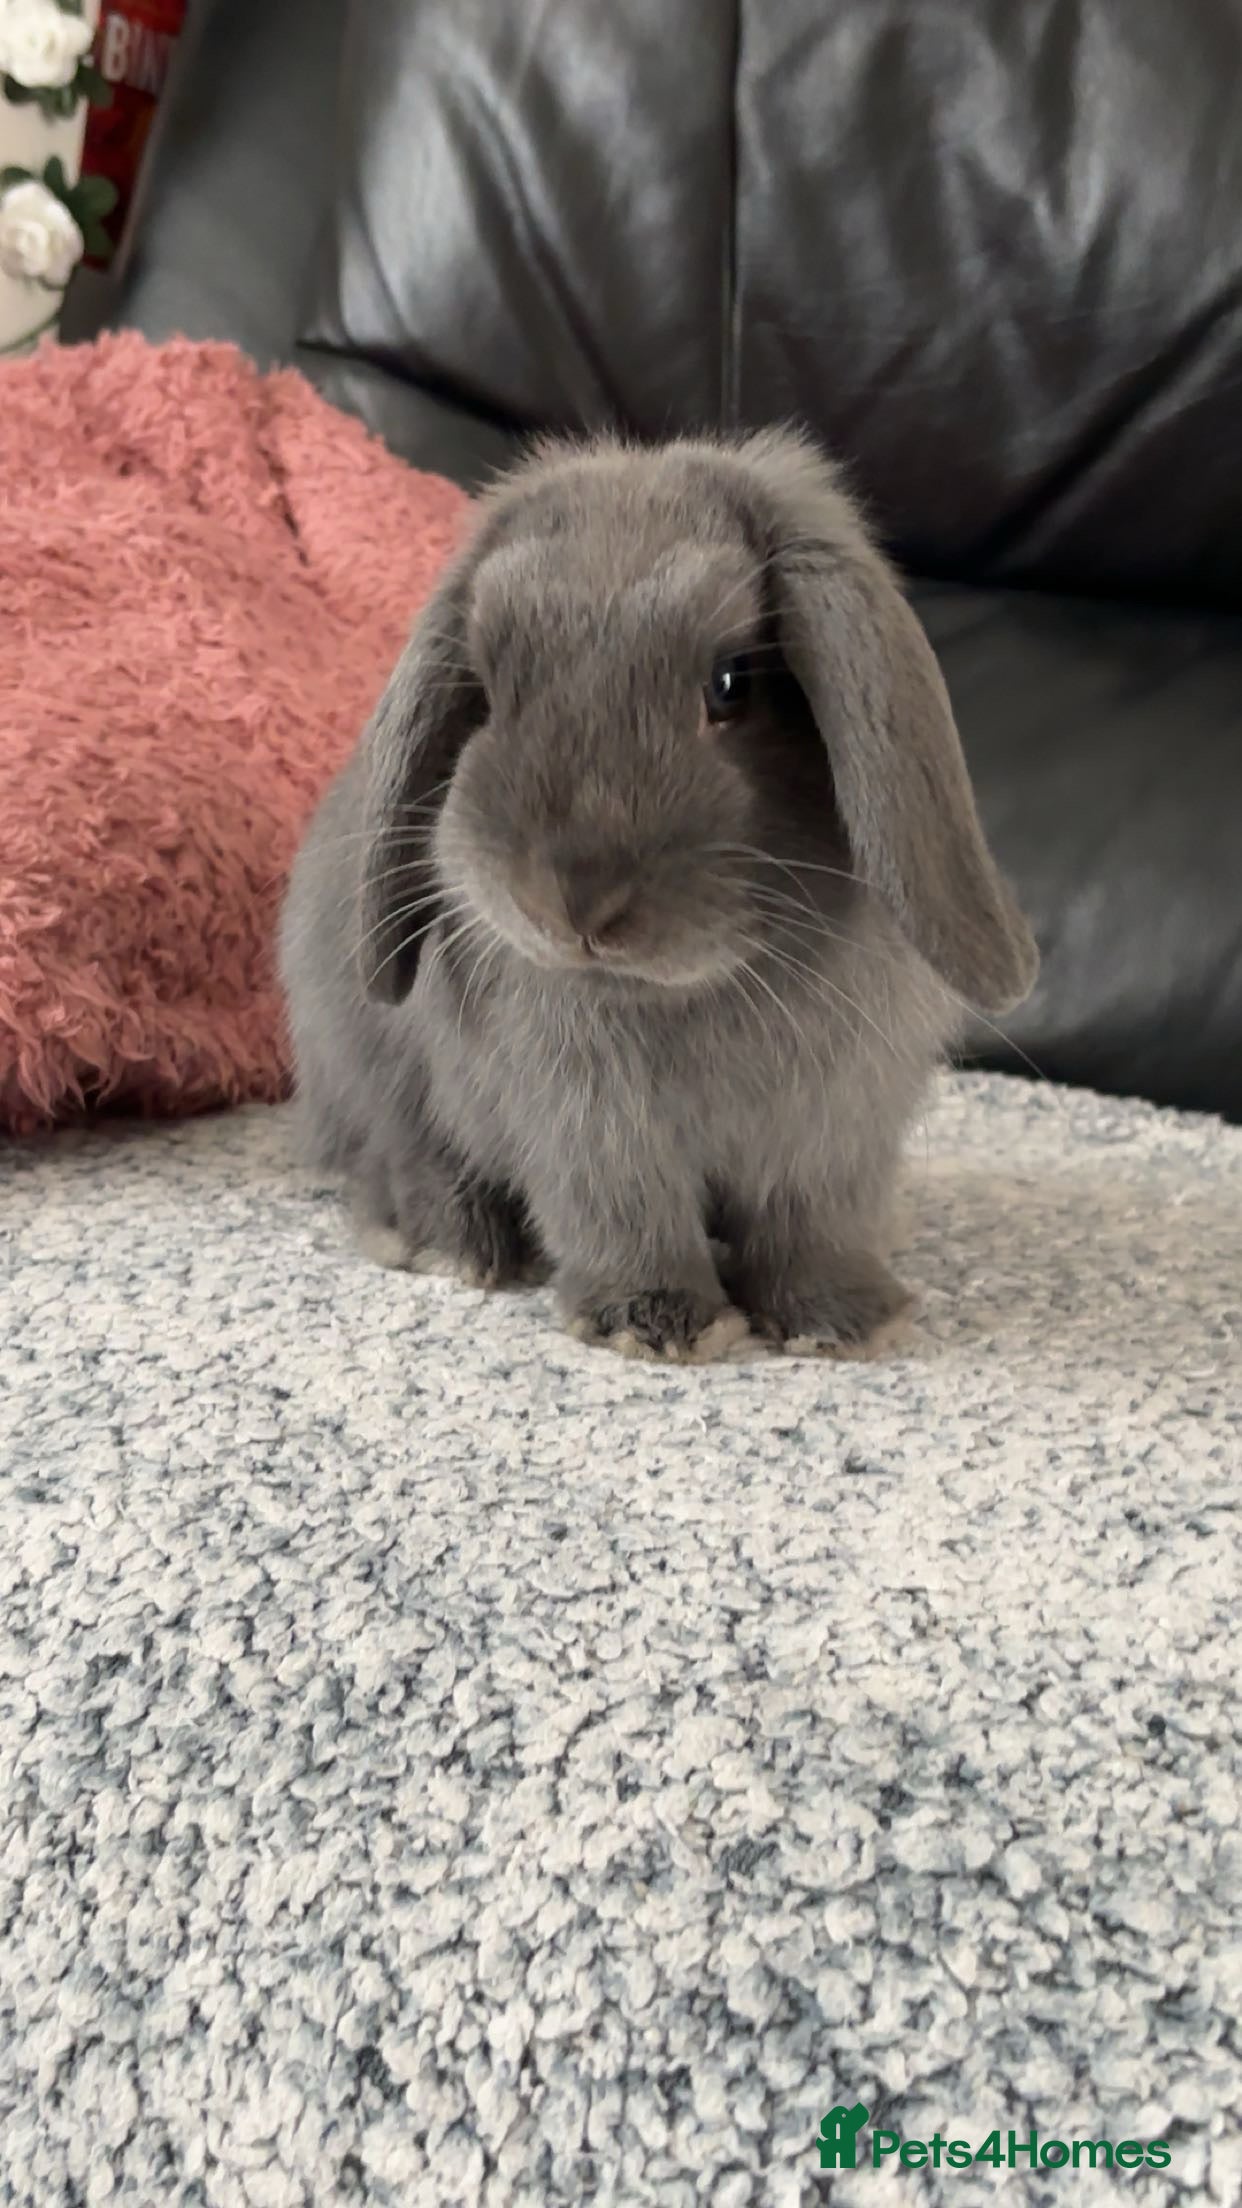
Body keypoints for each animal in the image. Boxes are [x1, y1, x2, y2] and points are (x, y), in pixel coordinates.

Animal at [279, 428, 1037, 1362]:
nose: (573, 903)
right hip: (375, 1071)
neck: (697, 990)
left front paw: (843, 1319)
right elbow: (625, 1217)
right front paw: (660, 1323)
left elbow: (810, 1229)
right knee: (400, 1155)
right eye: (487, 693)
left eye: (731, 682)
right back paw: (447, 1240)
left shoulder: (831, 1134)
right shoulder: (592, 1124)